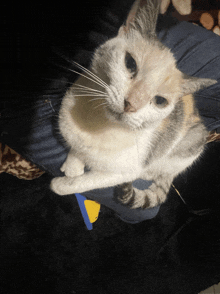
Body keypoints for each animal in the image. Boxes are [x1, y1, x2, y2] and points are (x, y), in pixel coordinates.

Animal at [50, 0, 217, 209]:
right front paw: (73, 164)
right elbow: (76, 146)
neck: (97, 124)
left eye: (160, 101)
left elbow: (86, 182)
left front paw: (61, 184)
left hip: (191, 143)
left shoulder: (124, 172)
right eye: (130, 63)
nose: (131, 104)